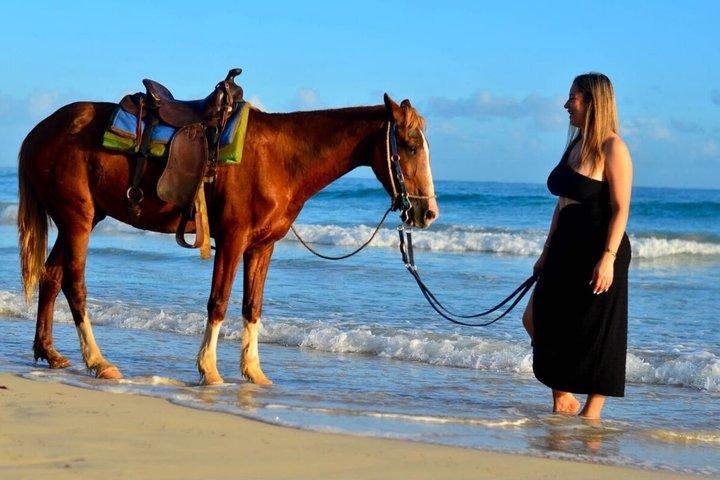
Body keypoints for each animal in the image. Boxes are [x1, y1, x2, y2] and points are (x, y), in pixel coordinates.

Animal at [17, 92, 439, 385]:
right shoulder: (233, 240)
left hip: (77, 221)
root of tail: (39, 131)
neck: (280, 159)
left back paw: (50, 353)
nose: (428, 213)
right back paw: (98, 362)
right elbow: (218, 302)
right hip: (78, 221)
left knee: (50, 277)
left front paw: (254, 374)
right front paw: (210, 370)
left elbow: (252, 307)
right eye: (410, 146)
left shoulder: (262, 247)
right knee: (74, 284)